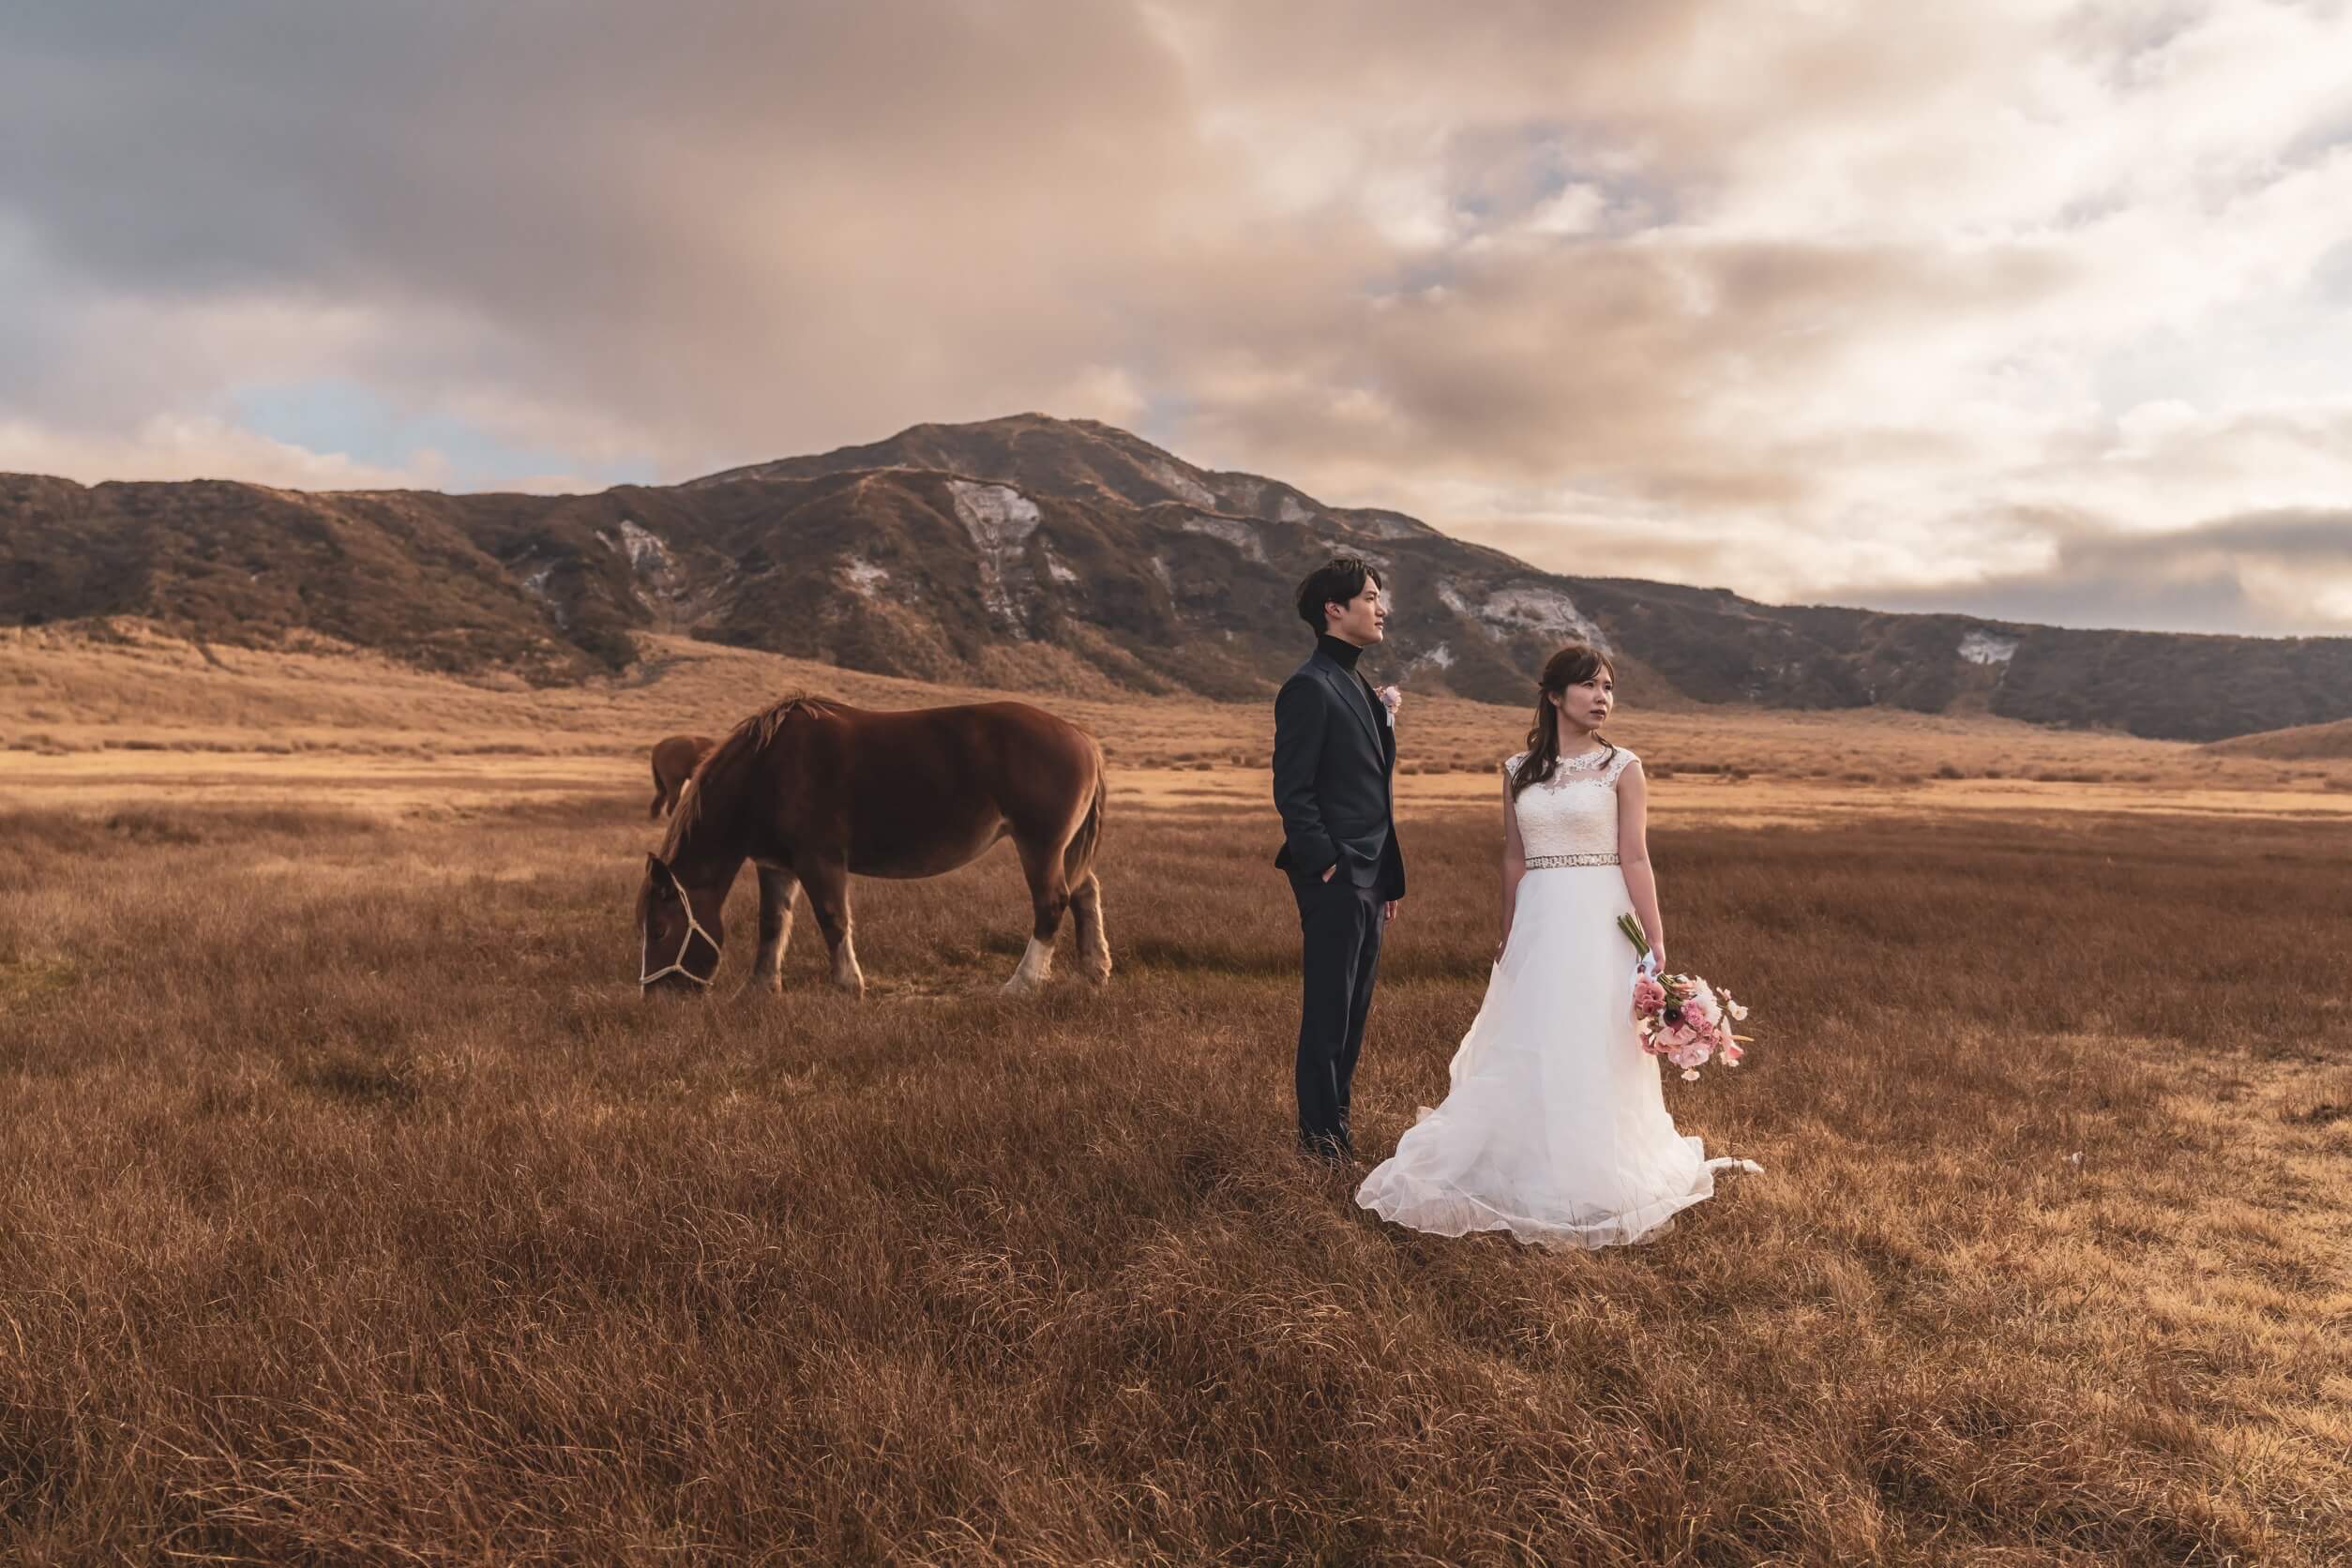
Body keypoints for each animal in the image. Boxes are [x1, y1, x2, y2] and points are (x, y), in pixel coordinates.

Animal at [635, 695, 1109, 1001]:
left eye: (658, 929)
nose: (657, 996)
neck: (766, 771)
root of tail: (1082, 736)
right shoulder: (775, 865)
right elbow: (771, 925)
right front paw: (758, 990)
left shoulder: (820, 860)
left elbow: (833, 920)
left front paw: (848, 985)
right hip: (1064, 848)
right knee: (1085, 891)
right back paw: (1095, 969)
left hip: (1040, 845)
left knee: (1052, 902)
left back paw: (1023, 983)